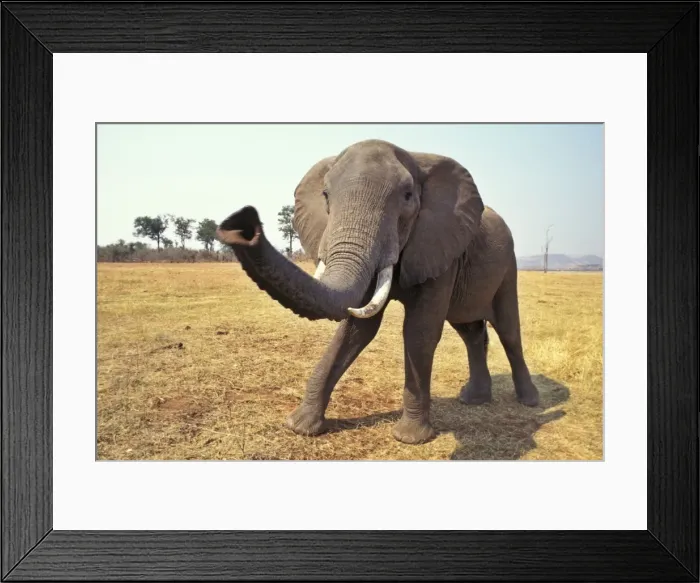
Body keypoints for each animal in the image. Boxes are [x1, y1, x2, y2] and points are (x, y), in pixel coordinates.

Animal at [216, 139, 540, 445]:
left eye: (408, 196)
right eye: (325, 196)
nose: (243, 224)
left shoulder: (439, 245)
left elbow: (419, 331)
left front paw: (410, 437)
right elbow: (357, 328)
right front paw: (300, 426)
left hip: (508, 267)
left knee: (508, 331)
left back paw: (530, 401)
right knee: (470, 331)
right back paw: (473, 400)